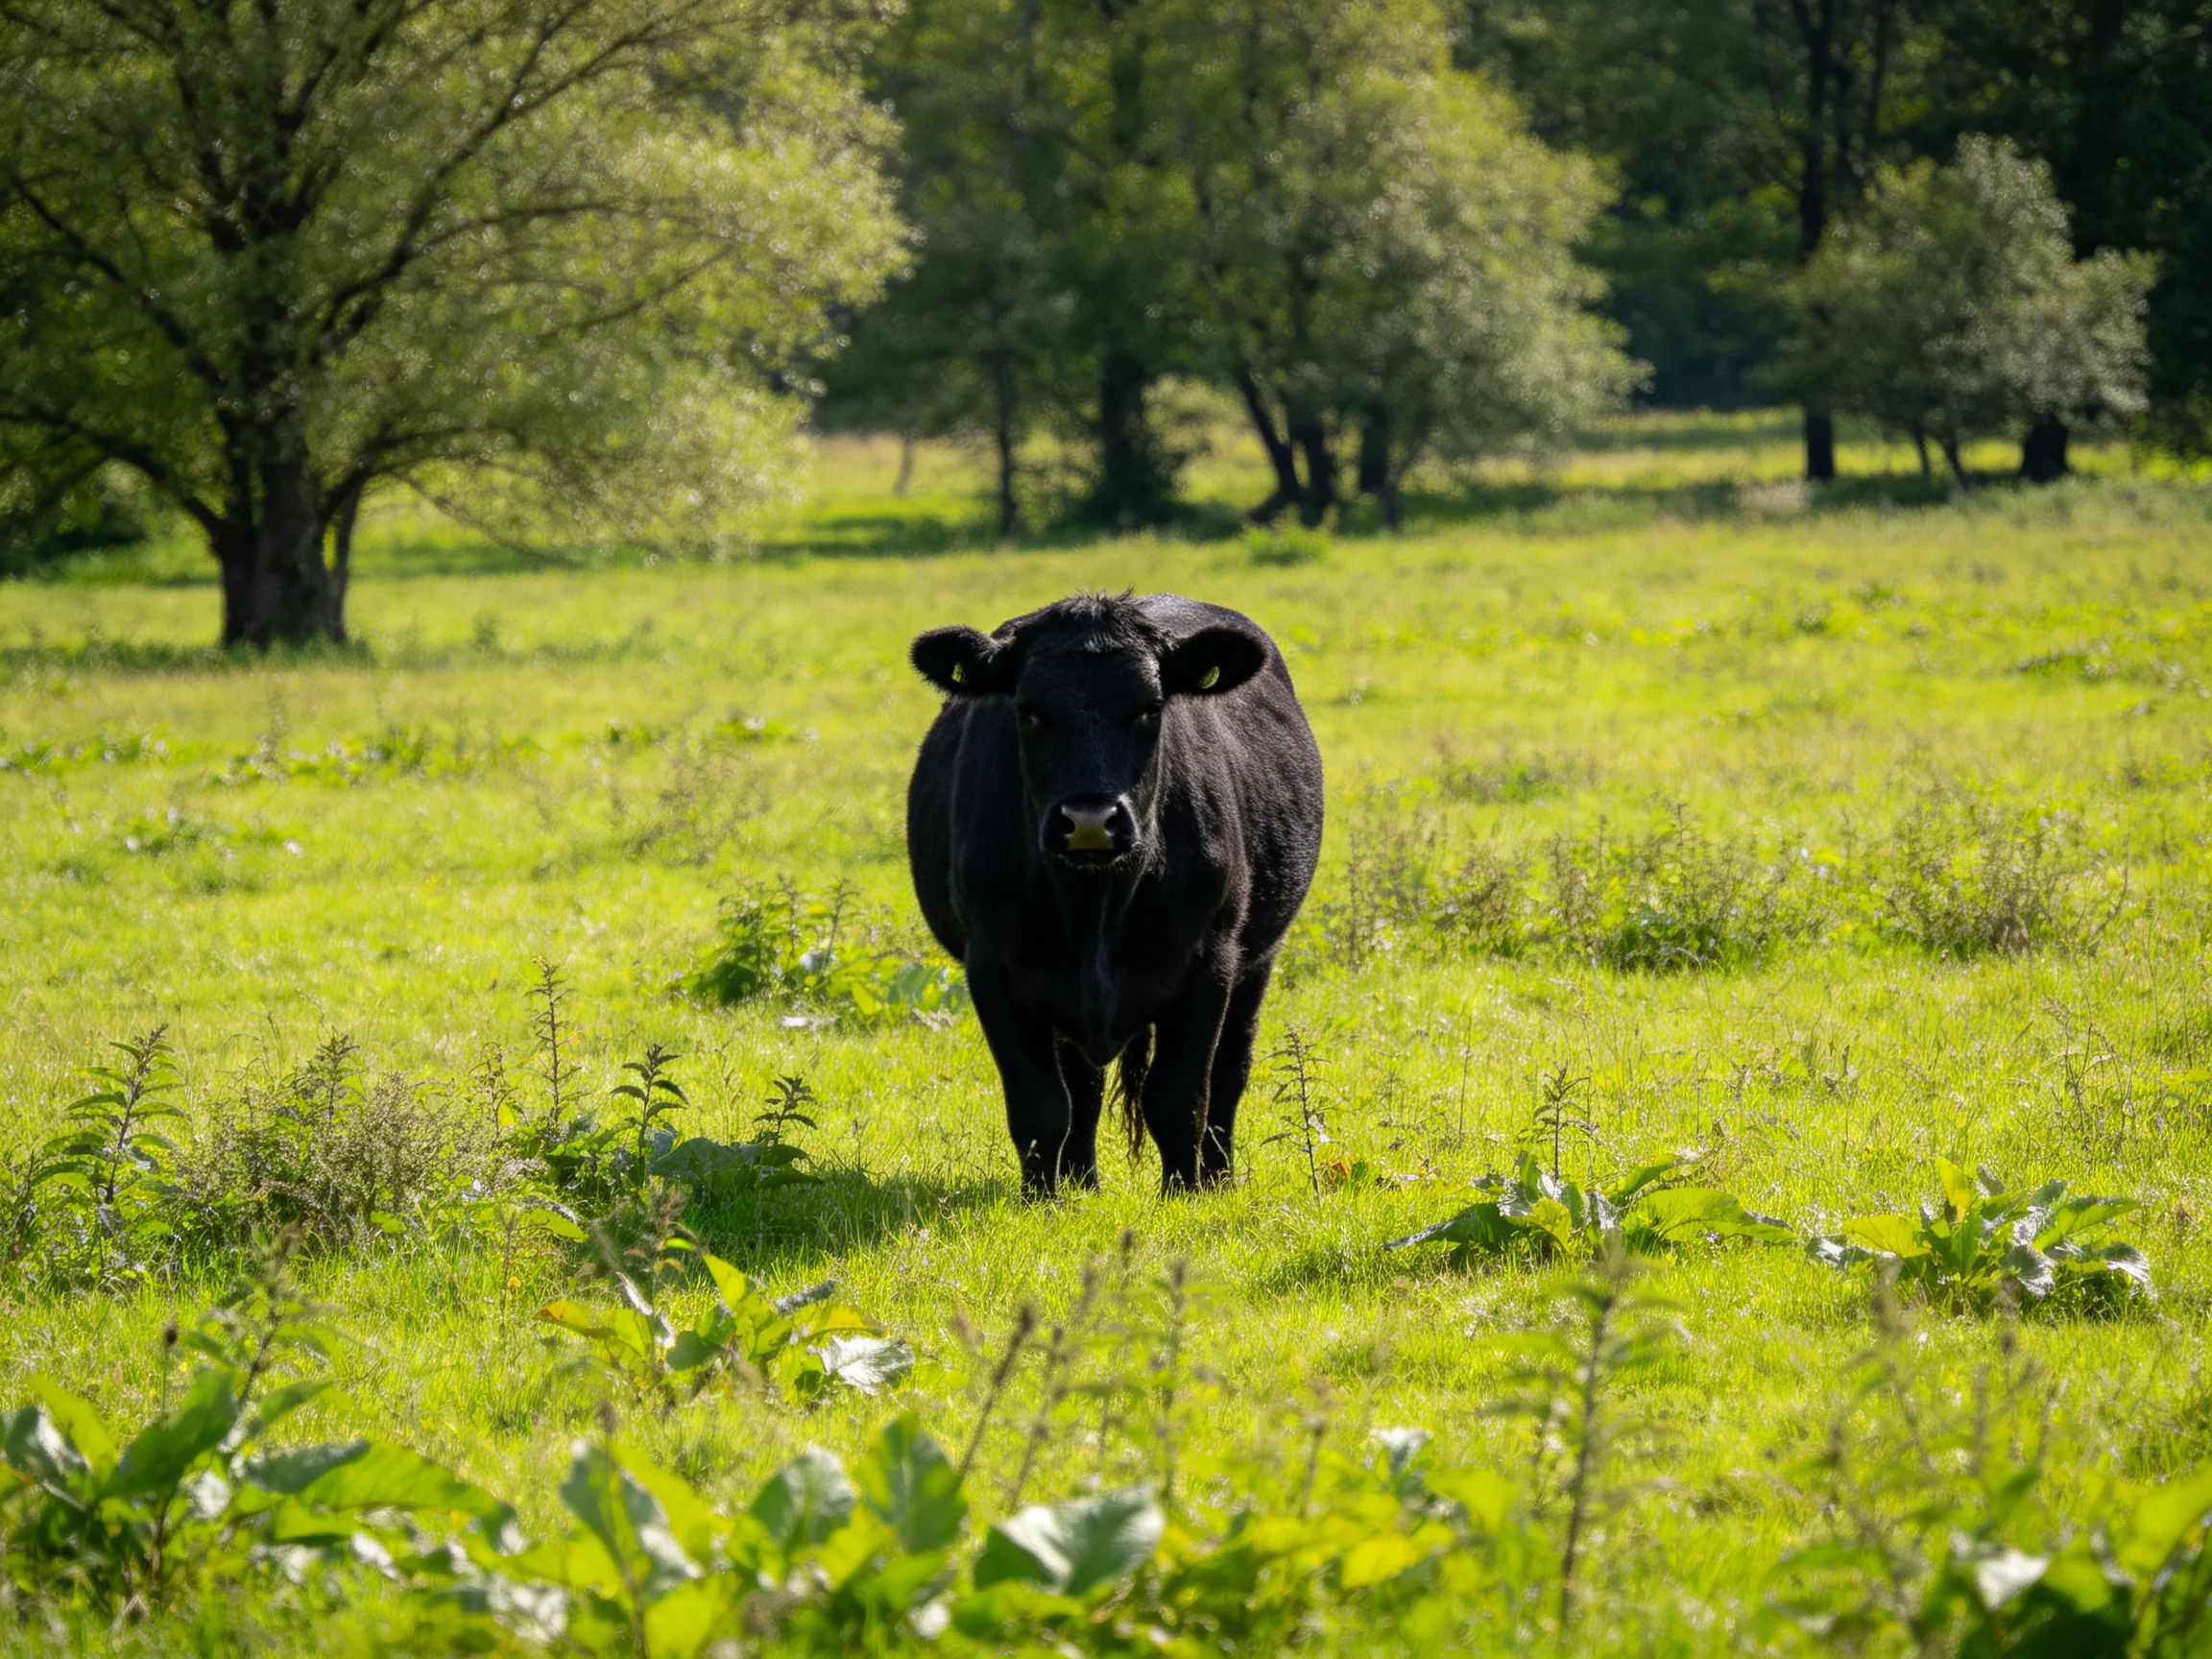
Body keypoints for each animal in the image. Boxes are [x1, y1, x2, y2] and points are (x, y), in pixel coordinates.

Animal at [905, 592, 1323, 1195]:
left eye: (1149, 707)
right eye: (1028, 709)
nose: (1088, 820)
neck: (1095, 903)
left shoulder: (1209, 960)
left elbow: (1178, 1098)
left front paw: (1184, 1195)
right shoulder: (993, 967)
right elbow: (1040, 1106)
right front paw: (1042, 1200)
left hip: (1256, 960)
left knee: (1228, 1075)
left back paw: (1219, 1179)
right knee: (1083, 1088)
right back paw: (1082, 1182)